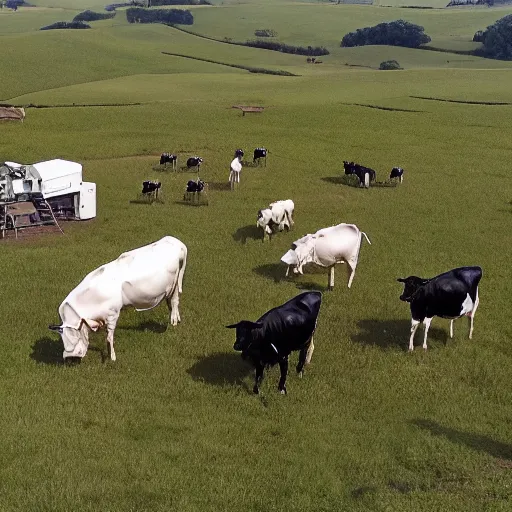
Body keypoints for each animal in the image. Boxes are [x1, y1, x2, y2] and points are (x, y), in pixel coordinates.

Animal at [48, 238, 187, 362]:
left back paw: (174, 321)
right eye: (63, 337)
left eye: (74, 334)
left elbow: (109, 337)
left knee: (174, 301)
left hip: (175, 284)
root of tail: (177, 242)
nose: (69, 358)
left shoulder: (113, 313)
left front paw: (112, 357)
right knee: (170, 303)